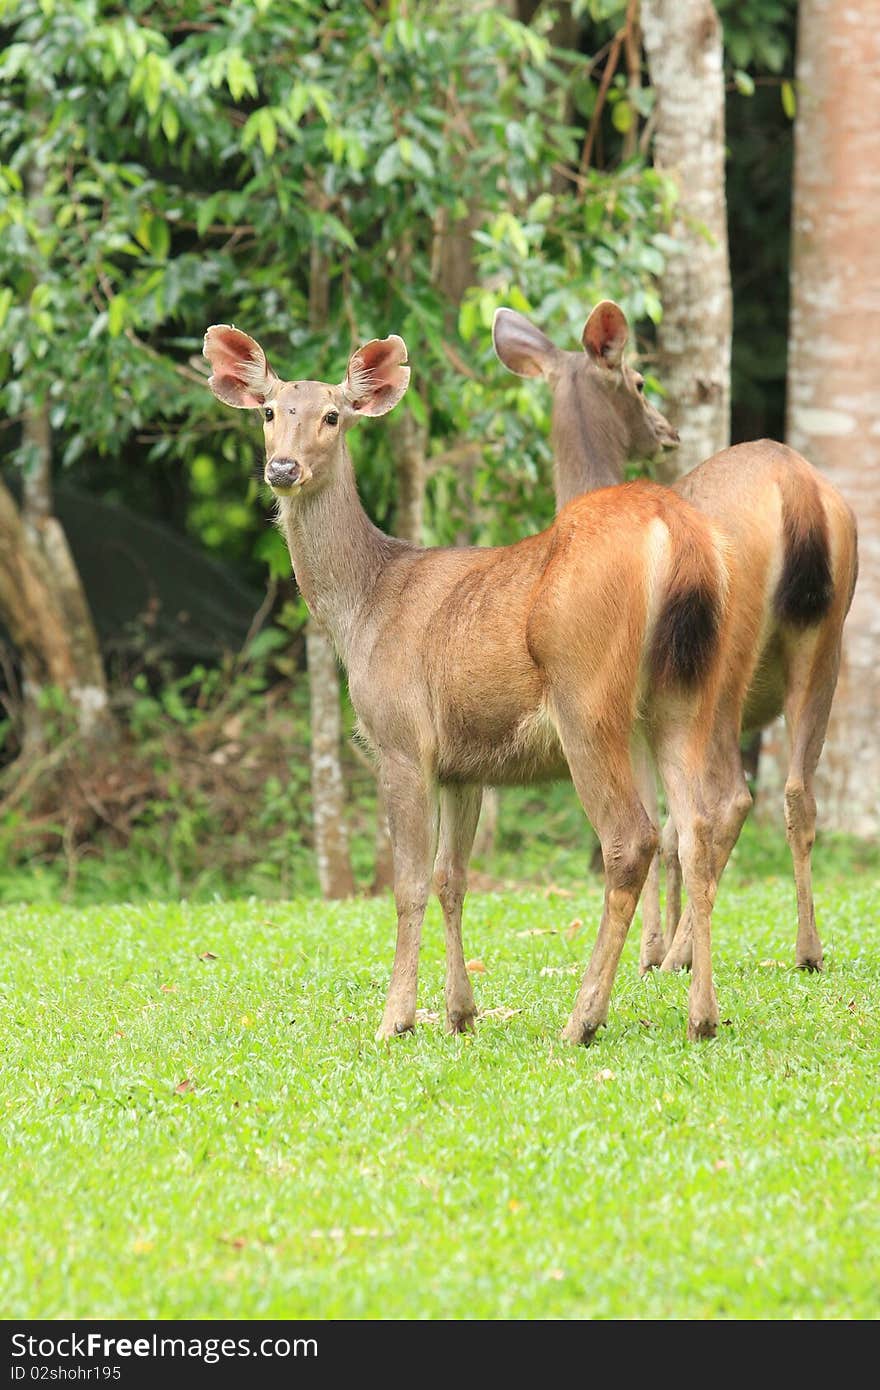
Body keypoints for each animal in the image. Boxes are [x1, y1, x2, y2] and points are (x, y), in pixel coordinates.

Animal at [205, 322, 739, 1045]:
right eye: (267, 411)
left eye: (333, 415)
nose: (282, 468)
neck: (363, 607)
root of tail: (678, 534)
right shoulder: (465, 762)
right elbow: (451, 879)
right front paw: (461, 1012)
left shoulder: (402, 739)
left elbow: (407, 884)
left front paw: (397, 1018)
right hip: (685, 691)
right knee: (698, 827)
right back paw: (702, 1016)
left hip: (587, 695)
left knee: (633, 840)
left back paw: (583, 1018)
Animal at [494, 304, 856, 978]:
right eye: (640, 383)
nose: (666, 430)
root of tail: (795, 487)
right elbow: (669, 827)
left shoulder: (631, 708)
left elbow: (659, 826)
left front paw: (652, 950)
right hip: (828, 639)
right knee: (797, 791)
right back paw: (808, 948)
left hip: (723, 661)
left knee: (730, 800)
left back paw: (684, 953)